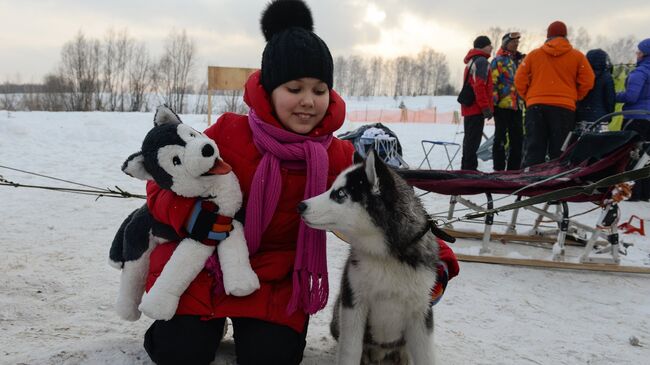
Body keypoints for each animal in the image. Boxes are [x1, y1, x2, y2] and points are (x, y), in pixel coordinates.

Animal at [296, 150, 442, 364]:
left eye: (340, 194)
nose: (301, 205)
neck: (386, 258)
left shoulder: (421, 310)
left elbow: (426, 356)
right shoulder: (353, 303)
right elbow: (350, 352)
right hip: (338, 313)